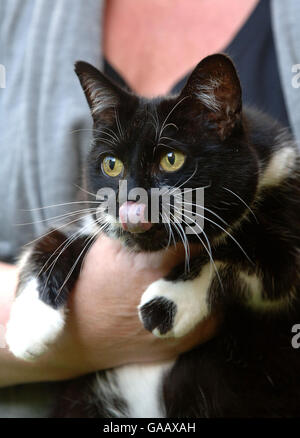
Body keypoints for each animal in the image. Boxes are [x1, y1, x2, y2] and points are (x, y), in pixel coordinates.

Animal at [5, 54, 300, 418]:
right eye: (111, 164)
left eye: (171, 159)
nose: (130, 201)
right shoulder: (96, 223)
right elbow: (54, 239)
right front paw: (30, 325)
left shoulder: (286, 246)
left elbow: (234, 255)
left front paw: (167, 303)